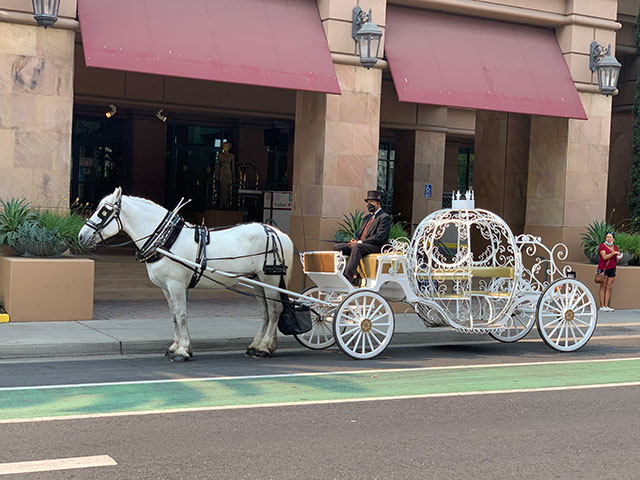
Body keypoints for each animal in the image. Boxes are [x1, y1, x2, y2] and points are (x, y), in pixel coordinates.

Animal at [78, 188, 296, 360]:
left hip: (270, 278)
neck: (166, 240)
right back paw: (257, 346)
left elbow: (181, 314)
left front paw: (182, 351)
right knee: (265, 312)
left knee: (275, 310)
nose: (81, 236)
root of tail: (279, 233)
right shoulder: (166, 288)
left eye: (103, 211)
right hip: (258, 281)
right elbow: (174, 316)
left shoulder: (176, 284)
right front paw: (175, 346)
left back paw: (264, 348)